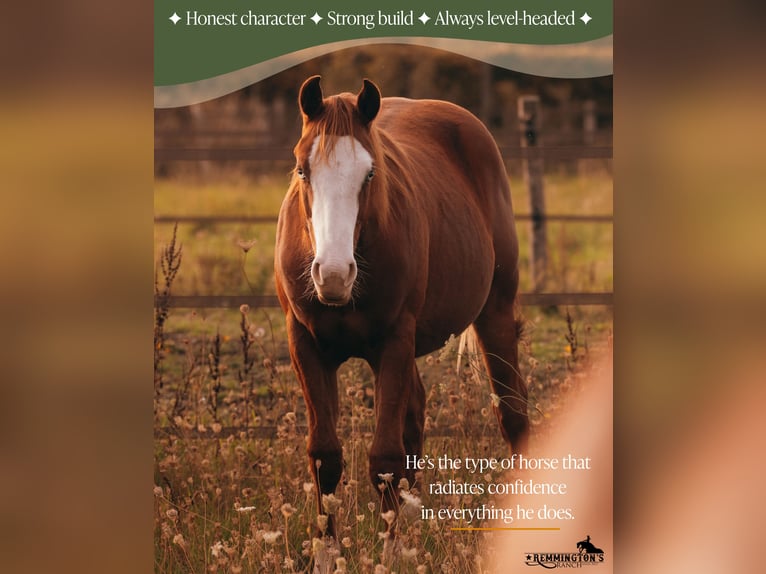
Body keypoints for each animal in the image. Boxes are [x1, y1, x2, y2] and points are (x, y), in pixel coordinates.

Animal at [274, 75, 528, 536]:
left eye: (370, 173)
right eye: (303, 169)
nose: (333, 275)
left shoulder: (393, 341)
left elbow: (385, 460)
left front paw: (390, 546)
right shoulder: (305, 344)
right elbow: (325, 457)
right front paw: (327, 546)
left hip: (495, 313)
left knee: (512, 414)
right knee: (416, 418)